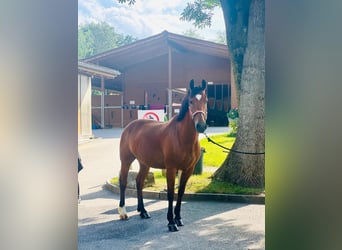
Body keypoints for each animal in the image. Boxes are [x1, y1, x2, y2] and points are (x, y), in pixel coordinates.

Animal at [119, 79, 207, 231]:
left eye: (206, 101)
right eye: (190, 101)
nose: (201, 126)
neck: (181, 137)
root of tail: (129, 126)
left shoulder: (188, 170)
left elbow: (180, 193)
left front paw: (178, 219)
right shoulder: (171, 169)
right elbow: (171, 194)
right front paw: (171, 222)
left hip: (145, 163)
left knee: (139, 182)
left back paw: (143, 211)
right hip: (126, 161)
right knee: (123, 182)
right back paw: (123, 212)